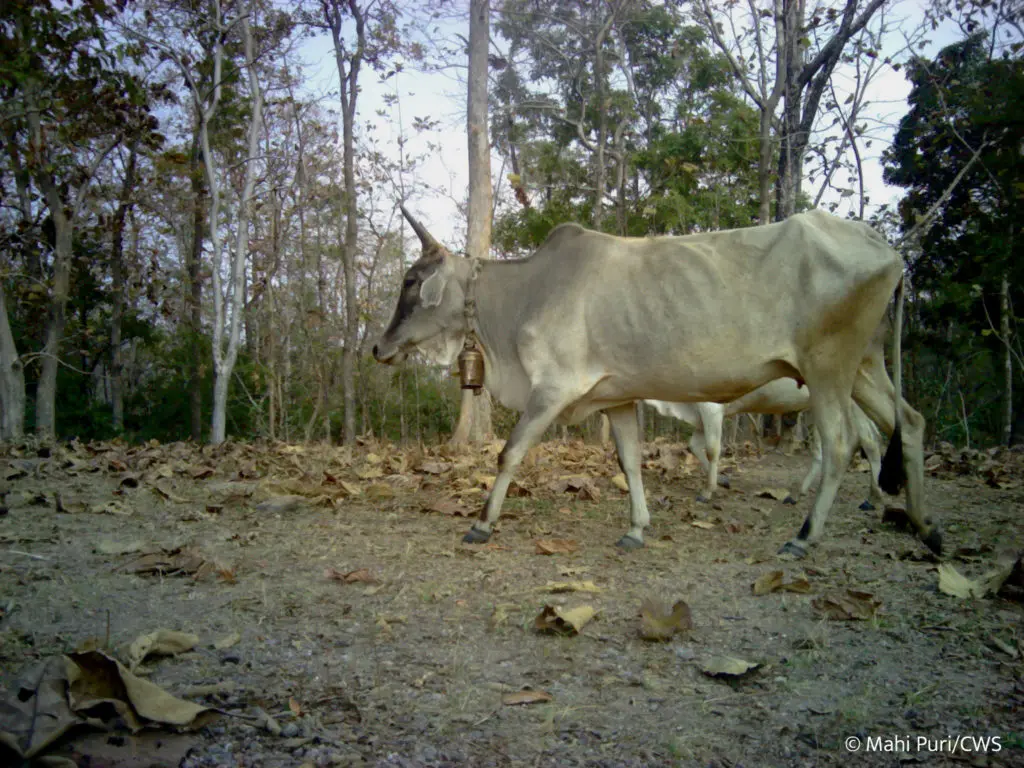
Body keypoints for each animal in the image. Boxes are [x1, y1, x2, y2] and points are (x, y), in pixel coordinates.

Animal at [645, 377, 885, 510]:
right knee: (822, 450)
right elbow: (694, 445)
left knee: (870, 440)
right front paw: (722, 480)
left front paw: (707, 491)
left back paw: (873, 497)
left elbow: (713, 449)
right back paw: (797, 494)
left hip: (853, 404)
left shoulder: (711, 408)